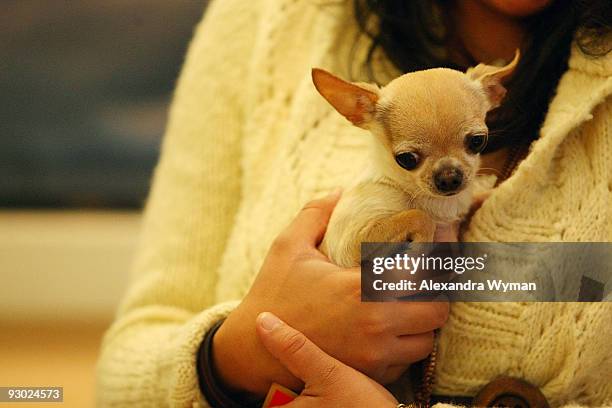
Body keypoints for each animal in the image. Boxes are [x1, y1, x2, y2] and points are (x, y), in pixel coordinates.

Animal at [314, 51, 520, 268]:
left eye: (478, 141)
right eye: (406, 159)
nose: (449, 177)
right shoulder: (350, 245)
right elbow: (419, 216)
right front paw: (421, 244)